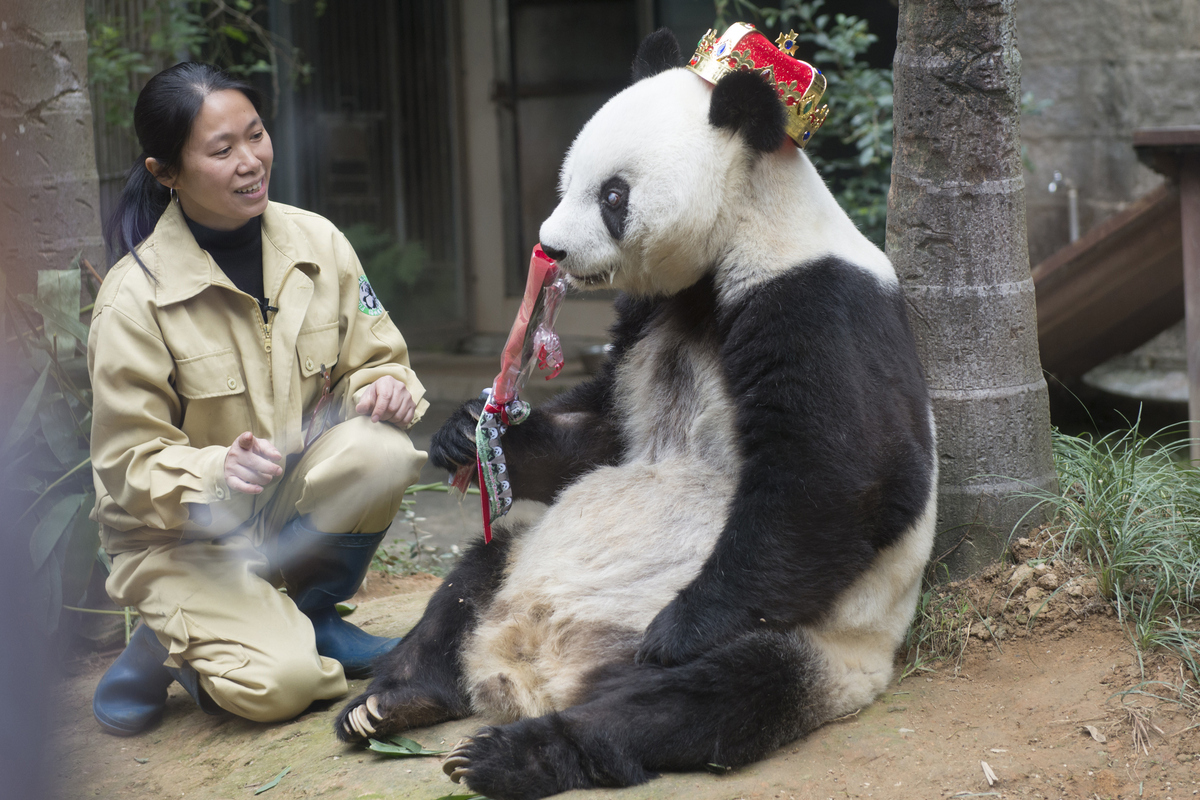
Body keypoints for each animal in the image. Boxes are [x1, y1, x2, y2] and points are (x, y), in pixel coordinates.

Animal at [336, 26, 936, 800]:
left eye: (613, 195)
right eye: (567, 182)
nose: (550, 247)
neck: (738, 239)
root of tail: (538, 672)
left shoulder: (815, 302)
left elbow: (846, 475)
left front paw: (678, 631)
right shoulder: (650, 313)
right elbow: (601, 437)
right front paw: (467, 433)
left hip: (817, 647)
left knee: (702, 696)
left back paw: (518, 751)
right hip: (523, 557)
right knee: (469, 579)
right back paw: (393, 700)